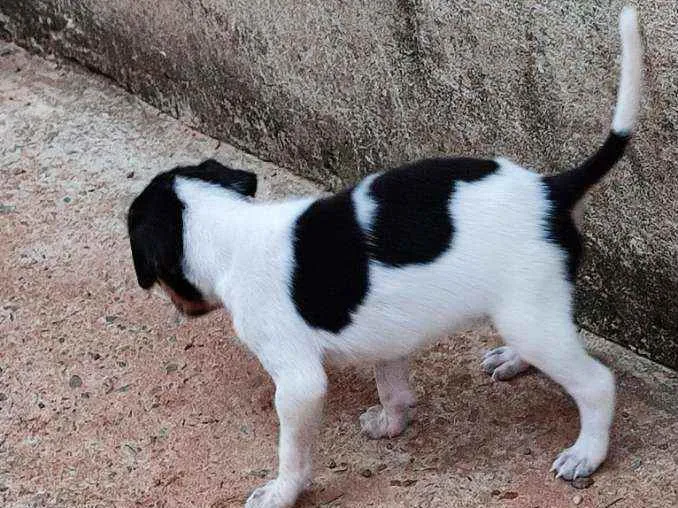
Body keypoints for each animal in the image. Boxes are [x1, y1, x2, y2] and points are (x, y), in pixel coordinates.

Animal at [127, 8, 644, 508]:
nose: (179, 308)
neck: (227, 227)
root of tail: (551, 190)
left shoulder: (298, 383)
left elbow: (293, 452)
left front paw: (281, 493)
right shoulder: (389, 337)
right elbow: (392, 386)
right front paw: (392, 422)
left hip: (531, 317)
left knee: (596, 383)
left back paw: (586, 453)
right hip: (529, 308)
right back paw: (515, 360)